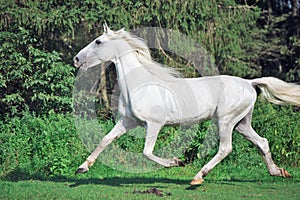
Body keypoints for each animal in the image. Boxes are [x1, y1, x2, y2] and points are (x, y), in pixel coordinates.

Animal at [73, 24, 300, 185]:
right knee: (262, 142)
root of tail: (249, 83)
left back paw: (198, 177)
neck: (139, 84)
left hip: (225, 120)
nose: (76, 59)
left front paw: (175, 162)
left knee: (225, 148)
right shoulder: (127, 122)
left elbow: (147, 152)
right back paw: (279, 172)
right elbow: (104, 140)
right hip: (242, 123)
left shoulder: (154, 124)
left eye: (98, 41)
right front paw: (82, 168)